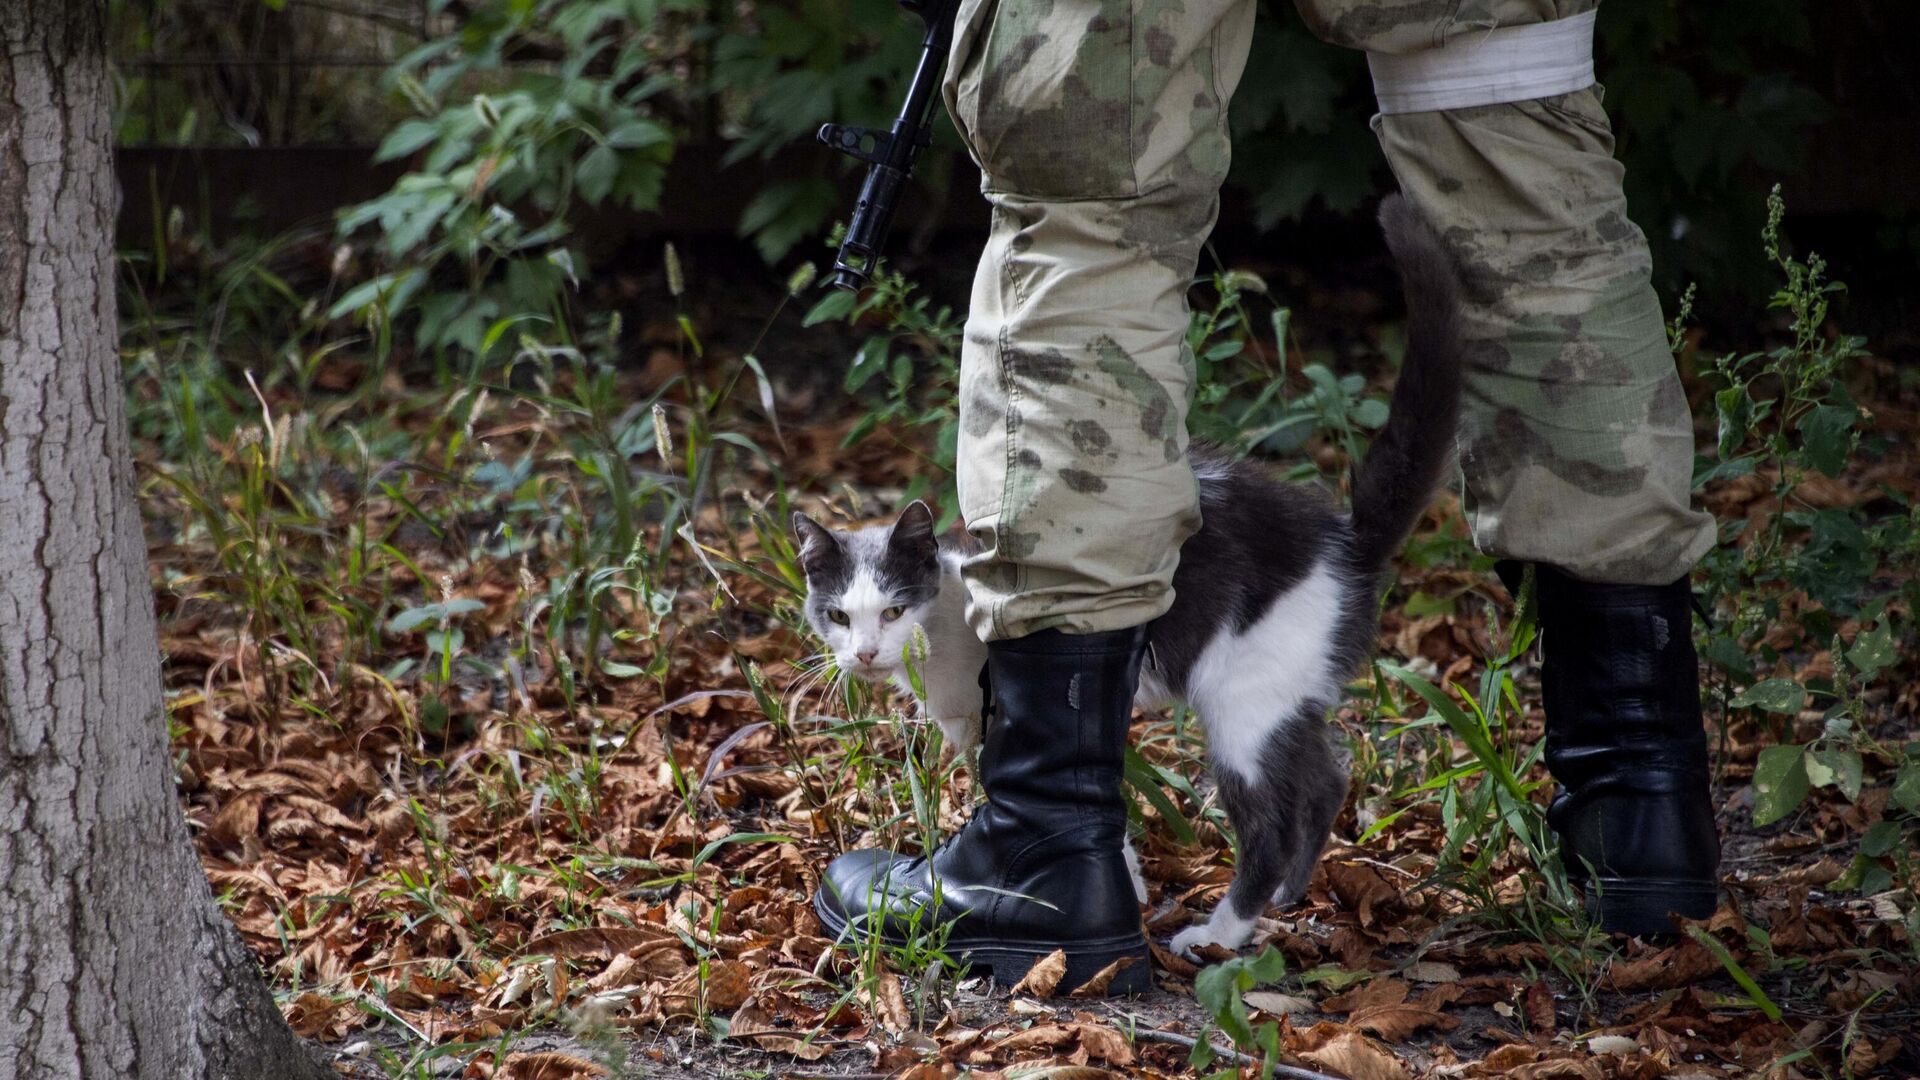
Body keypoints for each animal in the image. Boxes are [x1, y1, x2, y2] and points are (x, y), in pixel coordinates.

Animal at [787, 197, 1459, 953]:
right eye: (838, 615)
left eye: (894, 610)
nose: (866, 654)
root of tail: (1344, 541)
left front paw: (1109, 895)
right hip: (1291, 692)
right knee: (1326, 783)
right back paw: (1290, 892)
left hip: (1241, 699)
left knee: (1269, 822)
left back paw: (1221, 933)